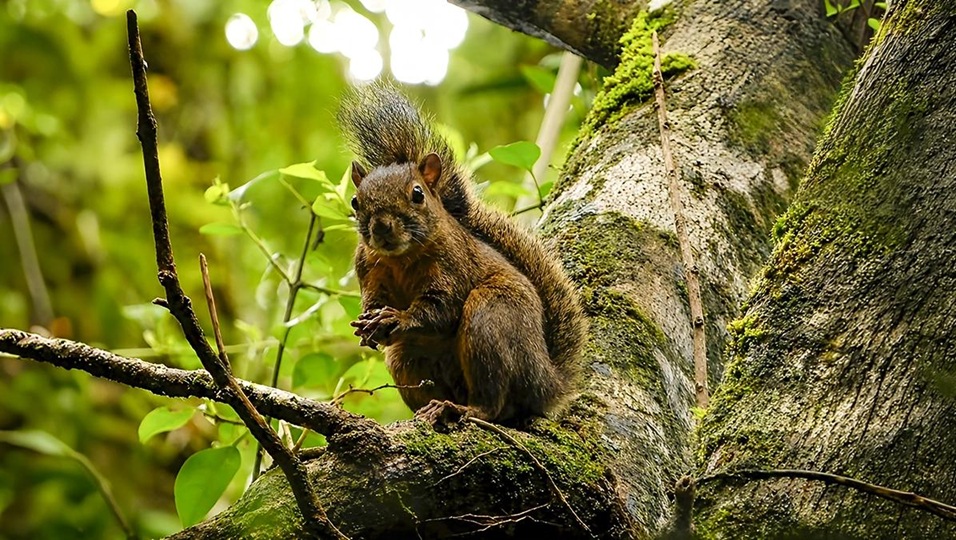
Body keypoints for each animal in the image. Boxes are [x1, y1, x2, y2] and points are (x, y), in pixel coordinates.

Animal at [340, 82, 587, 424]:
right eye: (355, 201)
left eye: (417, 194)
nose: (381, 228)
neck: (401, 258)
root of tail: (544, 381)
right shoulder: (370, 269)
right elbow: (375, 300)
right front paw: (367, 324)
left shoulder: (453, 265)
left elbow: (441, 309)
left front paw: (397, 318)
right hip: (406, 360)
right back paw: (432, 408)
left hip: (490, 319)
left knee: (494, 405)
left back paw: (460, 408)